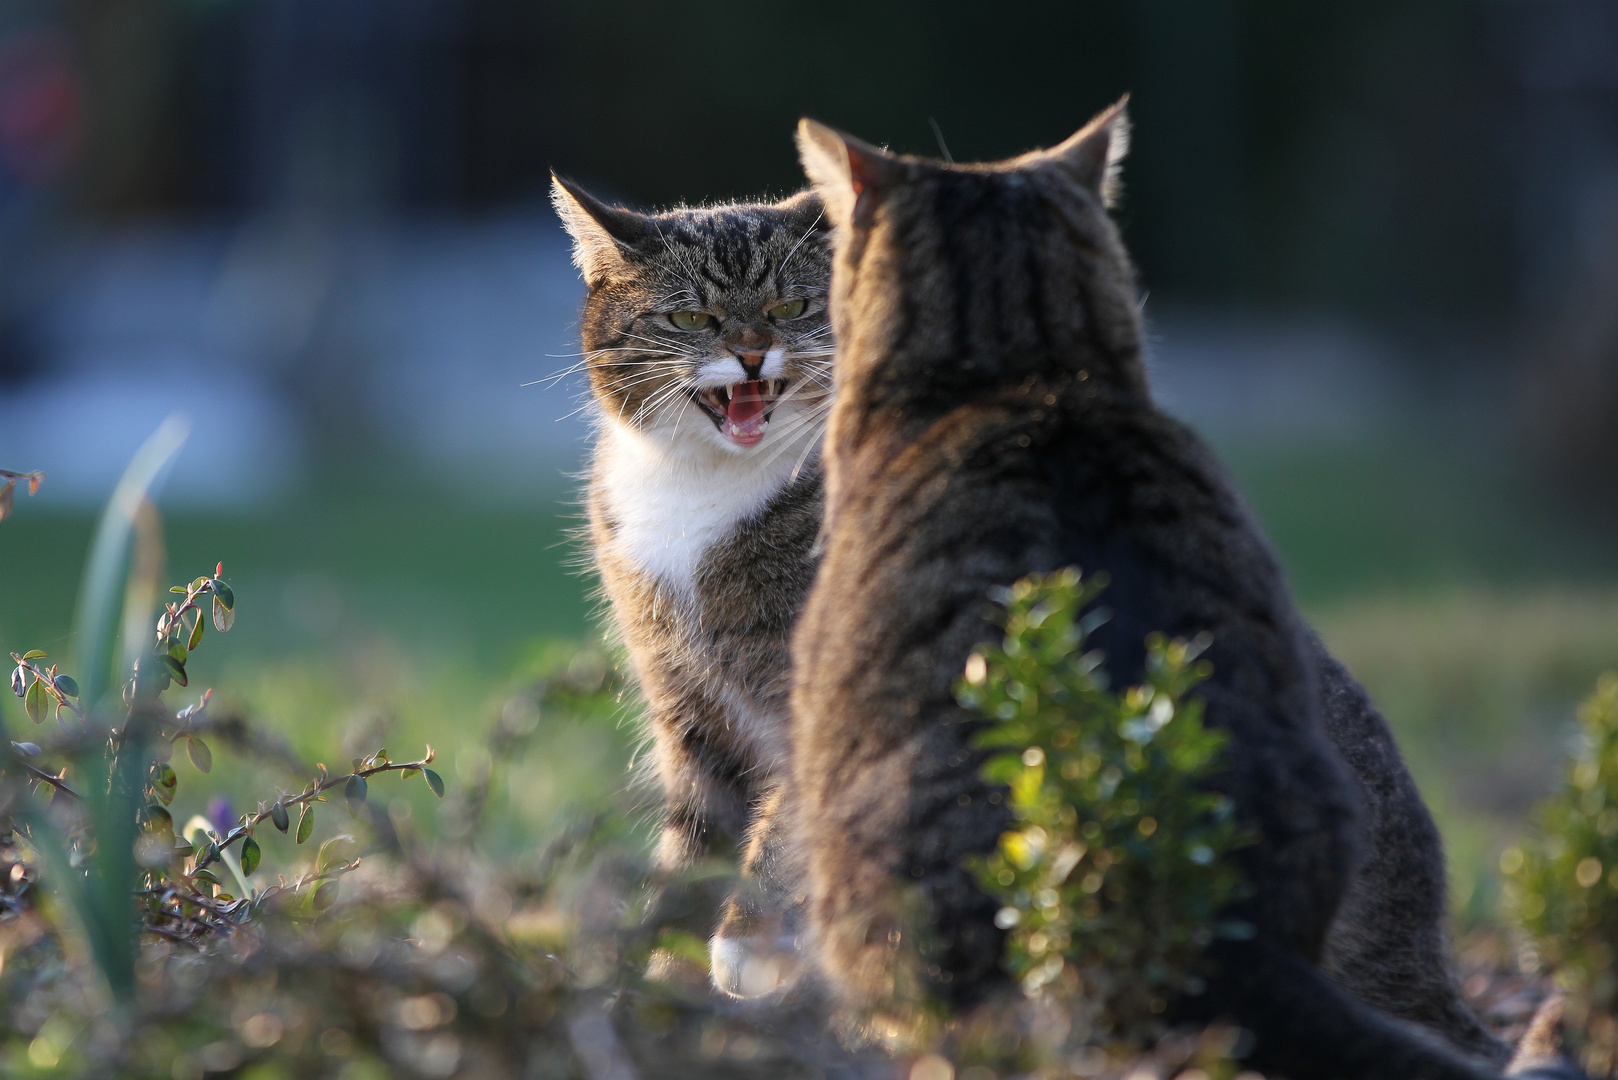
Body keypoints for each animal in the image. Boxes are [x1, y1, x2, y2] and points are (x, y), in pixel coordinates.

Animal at [553, 175, 834, 997]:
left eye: (792, 308)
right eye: (691, 319)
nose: (751, 354)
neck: (701, 485)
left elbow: (785, 818)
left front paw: (747, 942)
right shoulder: (682, 700)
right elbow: (693, 840)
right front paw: (656, 969)